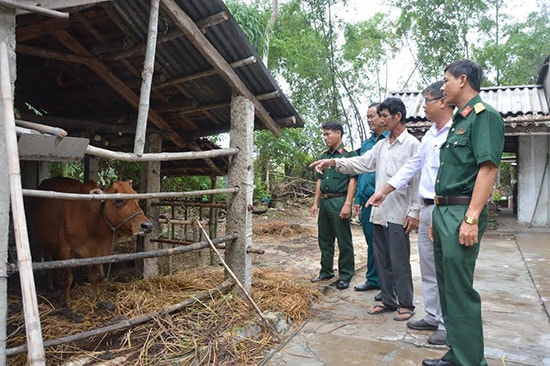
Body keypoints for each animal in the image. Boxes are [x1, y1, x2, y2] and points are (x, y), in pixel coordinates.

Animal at [28, 177, 153, 306]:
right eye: (119, 200)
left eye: (137, 199)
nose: (147, 225)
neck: (90, 220)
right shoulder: (64, 250)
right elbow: (68, 278)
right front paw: (67, 301)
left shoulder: (97, 253)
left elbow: (94, 277)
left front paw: (96, 298)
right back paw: (50, 284)